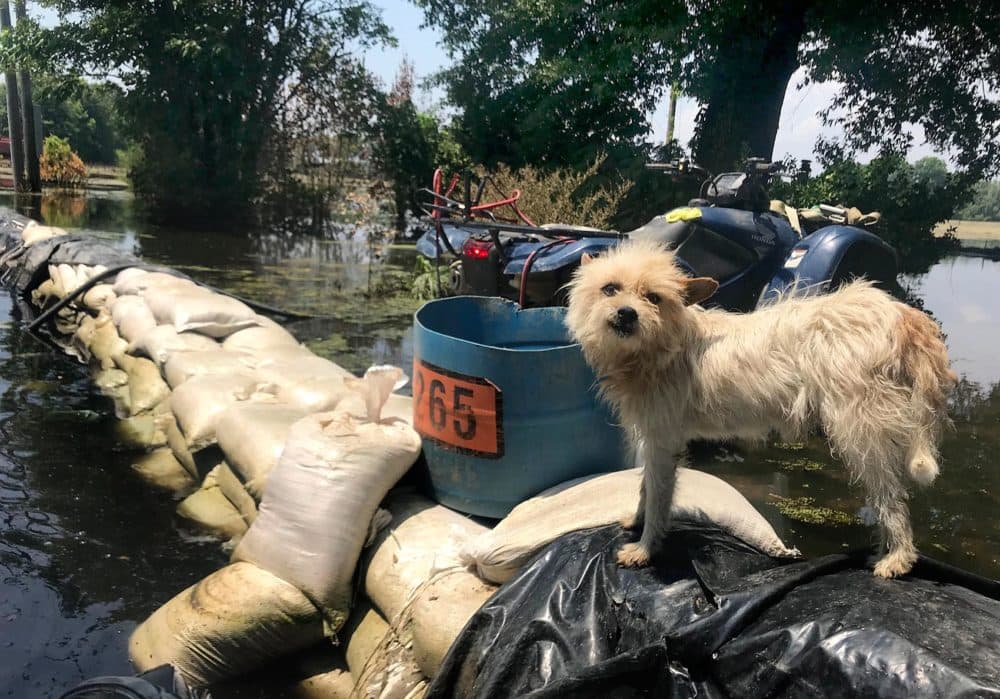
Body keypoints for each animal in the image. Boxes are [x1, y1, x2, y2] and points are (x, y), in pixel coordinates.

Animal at [568, 241, 956, 580]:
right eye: (610, 289)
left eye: (653, 298)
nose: (627, 314)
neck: (659, 347)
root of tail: (899, 312)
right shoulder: (652, 439)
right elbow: (646, 488)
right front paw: (636, 522)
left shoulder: (664, 442)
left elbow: (659, 497)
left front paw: (645, 549)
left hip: (862, 431)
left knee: (891, 498)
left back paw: (897, 558)